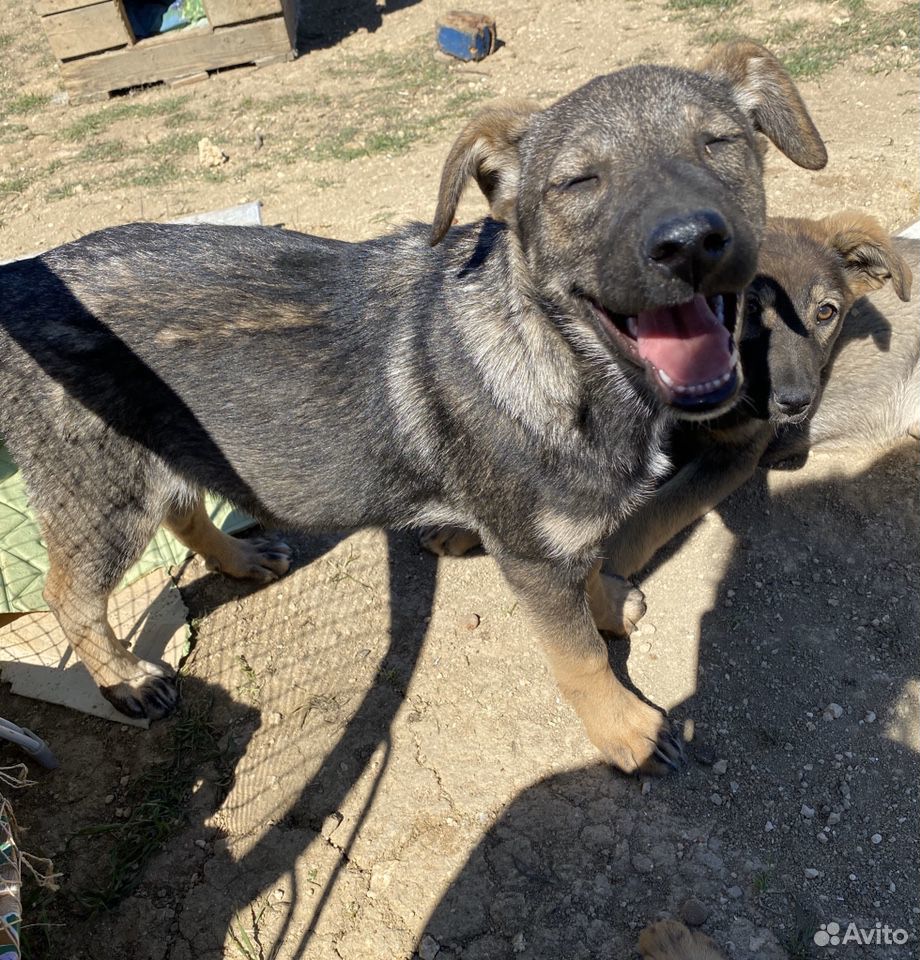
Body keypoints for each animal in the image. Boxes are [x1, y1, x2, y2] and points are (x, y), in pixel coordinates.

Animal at [0, 47, 824, 780]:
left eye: (719, 143)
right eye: (578, 182)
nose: (690, 243)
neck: (565, 359)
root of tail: (20, 275)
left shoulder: (566, 527)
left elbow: (592, 565)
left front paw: (606, 604)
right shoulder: (530, 551)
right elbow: (580, 657)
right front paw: (627, 732)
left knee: (181, 504)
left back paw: (239, 558)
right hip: (99, 488)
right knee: (71, 594)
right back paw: (128, 679)